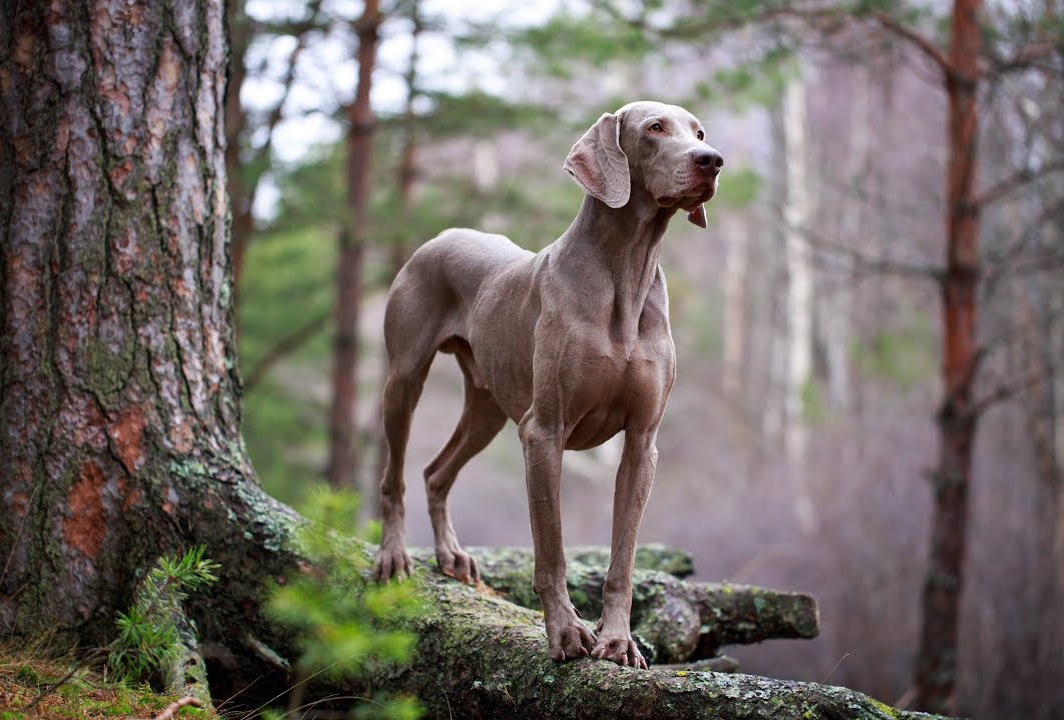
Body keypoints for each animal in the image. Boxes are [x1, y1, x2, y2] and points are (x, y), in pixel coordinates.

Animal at [372, 101, 723, 667]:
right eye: (654, 128)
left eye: (699, 131)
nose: (711, 160)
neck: (626, 272)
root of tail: (442, 235)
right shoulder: (544, 433)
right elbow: (551, 551)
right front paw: (565, 633)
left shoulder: (641, 444)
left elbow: (623, 558)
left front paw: (617, 640)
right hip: (404, 380)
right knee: (395, 475)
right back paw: (393, 555)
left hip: (488, 409)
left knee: (435, 472)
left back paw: (451, 555)